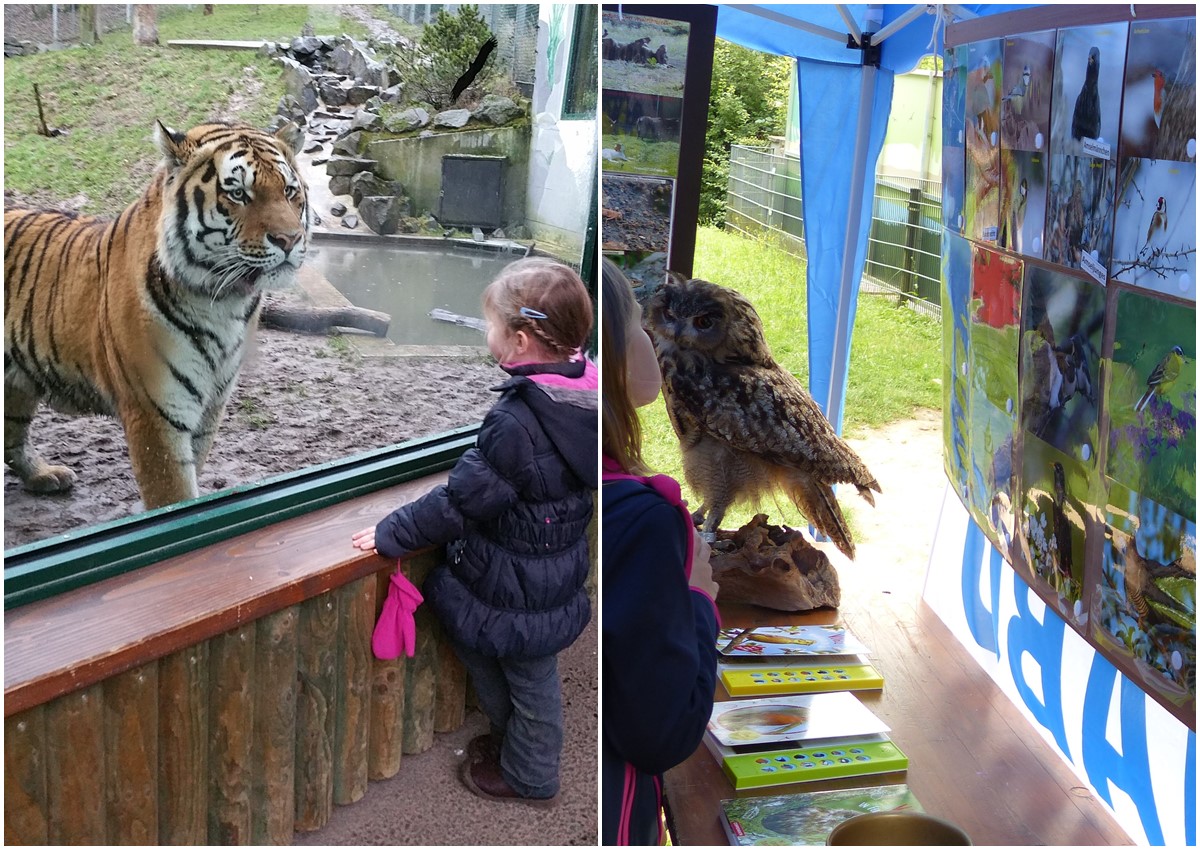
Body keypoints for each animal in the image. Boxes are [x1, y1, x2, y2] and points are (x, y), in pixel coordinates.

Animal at [3, 120, 309, 511]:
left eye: (288, 190)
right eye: (239, 194)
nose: (289, 240)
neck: (225, 303)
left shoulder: (210, 408)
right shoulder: (154, 413)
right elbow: (172, 495)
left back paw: (43, 475)